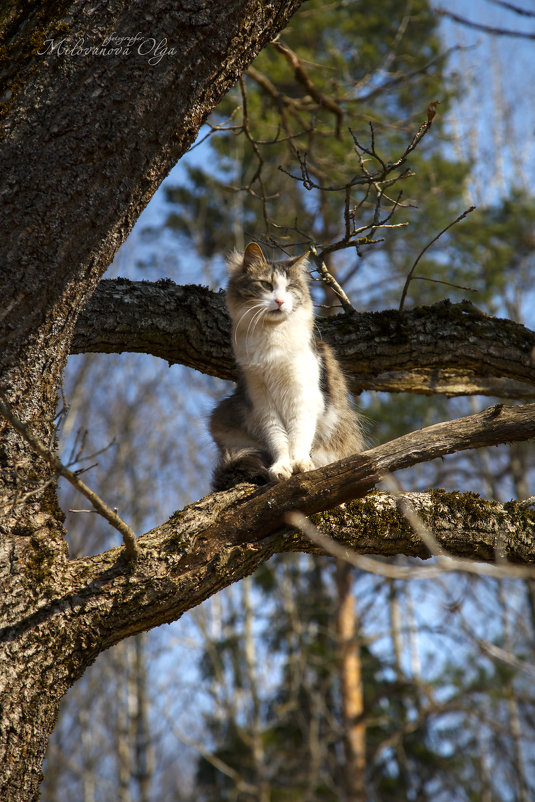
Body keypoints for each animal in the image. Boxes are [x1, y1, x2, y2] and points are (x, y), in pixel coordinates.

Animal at [209, 239, 364, 488]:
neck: (273, 341)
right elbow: (279, 440)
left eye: (289, 288)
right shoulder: (262, 401)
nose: (280, 301)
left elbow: (298, 435)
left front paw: (300, 464)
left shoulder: (303, 395)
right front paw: (281, 468)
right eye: (266, 285)